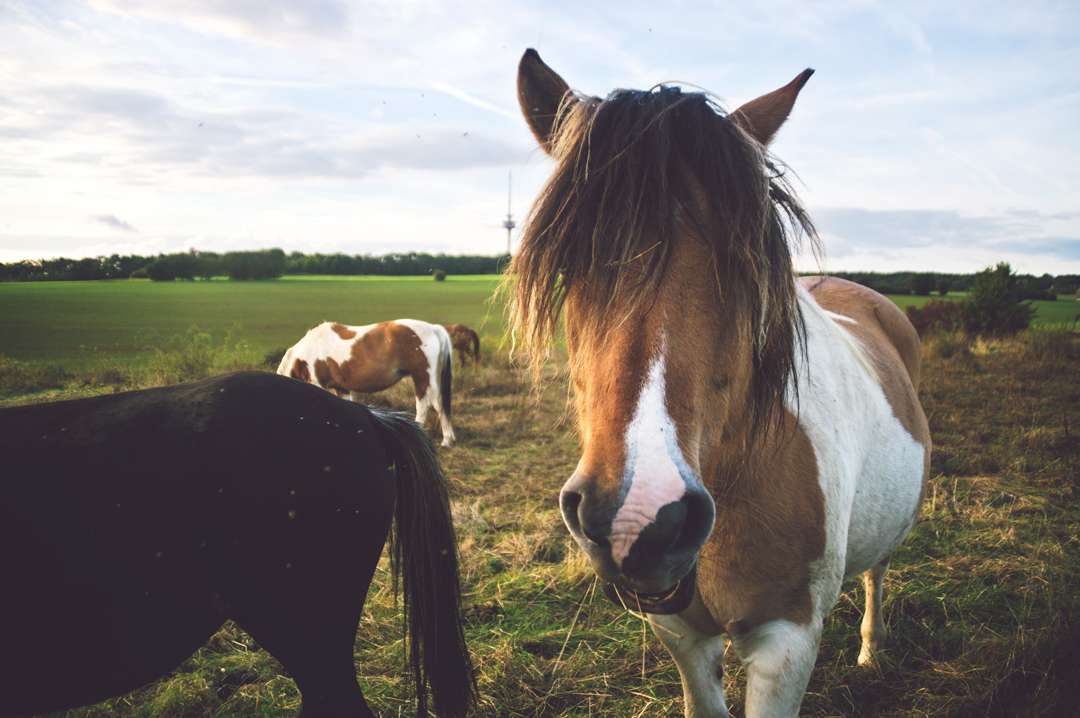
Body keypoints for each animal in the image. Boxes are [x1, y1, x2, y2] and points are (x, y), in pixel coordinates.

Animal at [278, 317, 455, 442]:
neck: (308, 350)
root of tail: (433, 328)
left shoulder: (317, 384)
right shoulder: (341, 387)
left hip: (426, 378)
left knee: (438, 405)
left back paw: (447, 440)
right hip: (419, 379)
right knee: (422, 406)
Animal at [511, 50, 928, 716]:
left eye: (742, 264)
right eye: (570, 264)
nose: (640, 518)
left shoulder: (786, 643)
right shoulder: (683, 635)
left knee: (878, 571)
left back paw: (871, 649)